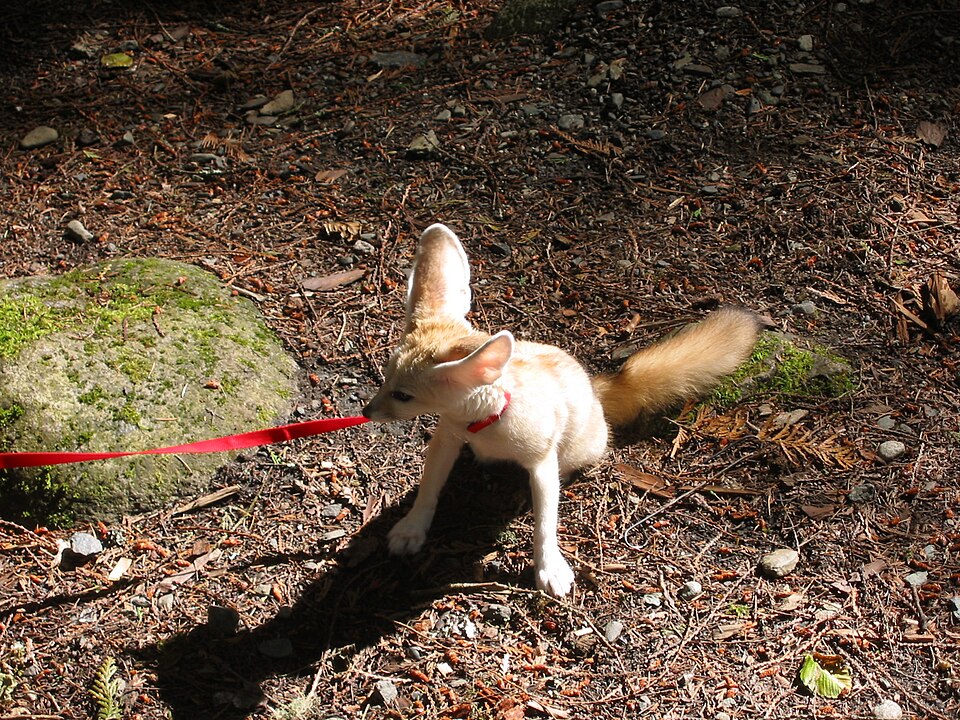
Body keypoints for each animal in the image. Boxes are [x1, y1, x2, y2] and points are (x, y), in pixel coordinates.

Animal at [362, 223, 759, 597]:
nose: (367, 411)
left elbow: (545, 523)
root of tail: (596, 387)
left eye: (403, 396)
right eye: (385, 379)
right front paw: (412, 528)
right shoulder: (447, 437)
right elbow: (429, 488)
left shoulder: (541, 462)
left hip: (577, 449)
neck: (485, 422)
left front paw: (549, 565)